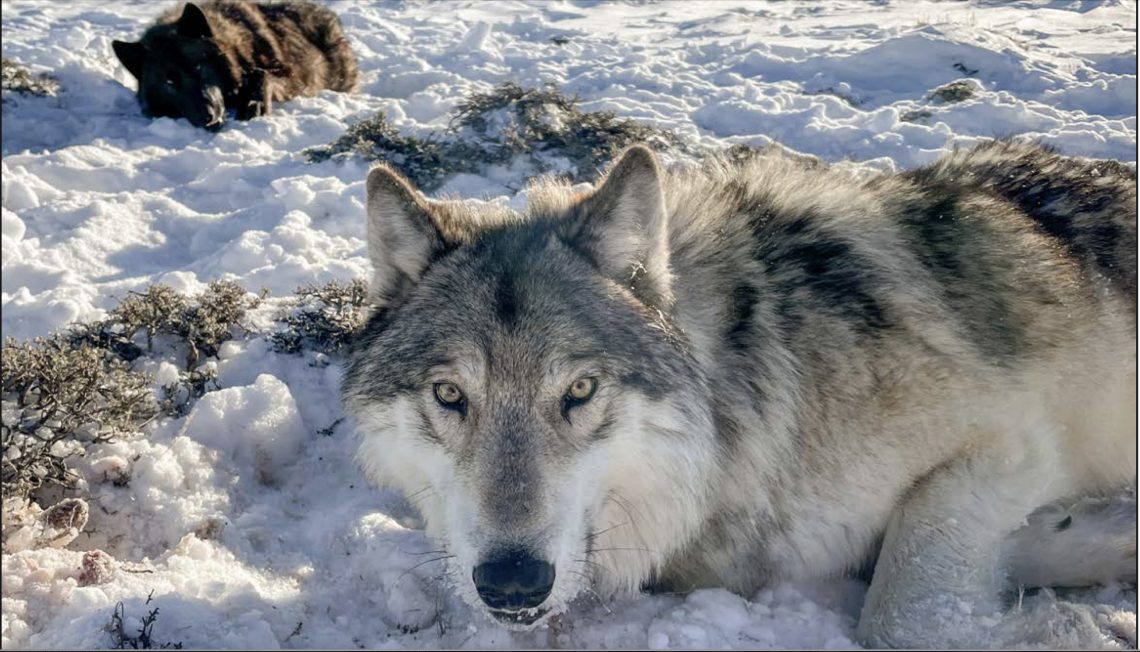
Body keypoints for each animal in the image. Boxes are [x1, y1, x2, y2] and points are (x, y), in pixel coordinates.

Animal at [111, 0, 357, 129]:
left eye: (198, 68)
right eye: (169, 82)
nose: (207, 117)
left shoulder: (290, 76)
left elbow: (261, 74)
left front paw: (254, 104)